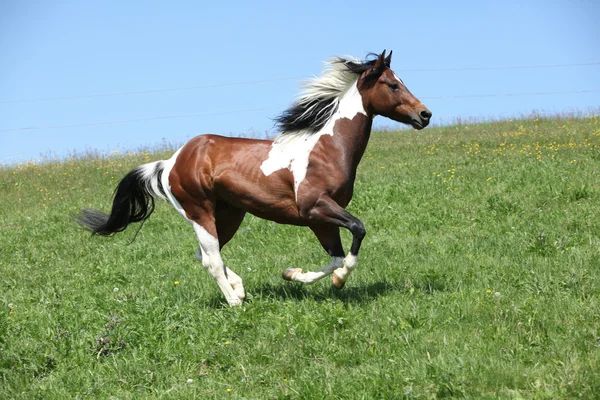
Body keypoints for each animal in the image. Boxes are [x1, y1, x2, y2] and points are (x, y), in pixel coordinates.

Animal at [77, 50, 428, 306]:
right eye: (393, 85)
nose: (425, 114)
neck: (327, 148)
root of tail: (171, 162)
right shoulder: (317, 208)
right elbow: (357, 231)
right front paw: (338, 280)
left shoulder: (320, 220)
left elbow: (335, 257)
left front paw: (293, 274)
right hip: (200, 212)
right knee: (210, 259)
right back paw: (235, 303)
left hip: (229, 214)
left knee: (206, 254)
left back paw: (241, 289)